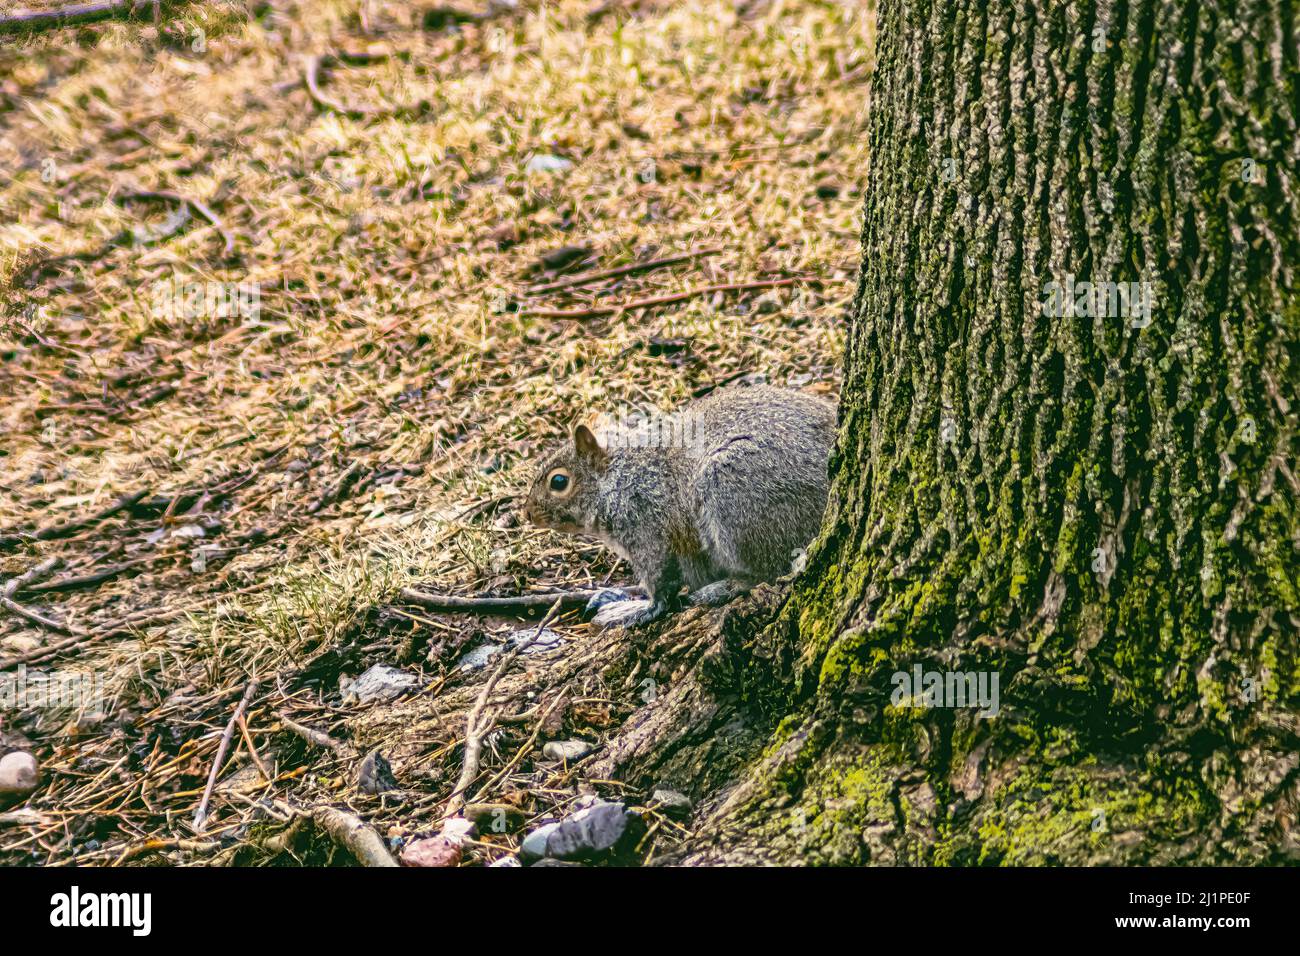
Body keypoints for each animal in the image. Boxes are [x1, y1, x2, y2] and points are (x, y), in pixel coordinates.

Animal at [522, 385, 837, 632]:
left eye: (559, 481)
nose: (527, 513)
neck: (620, 477)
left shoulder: (647, 528)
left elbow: (660, 584)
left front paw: (639, 610)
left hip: (734, 497)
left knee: (769, 572)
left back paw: (720, 589)